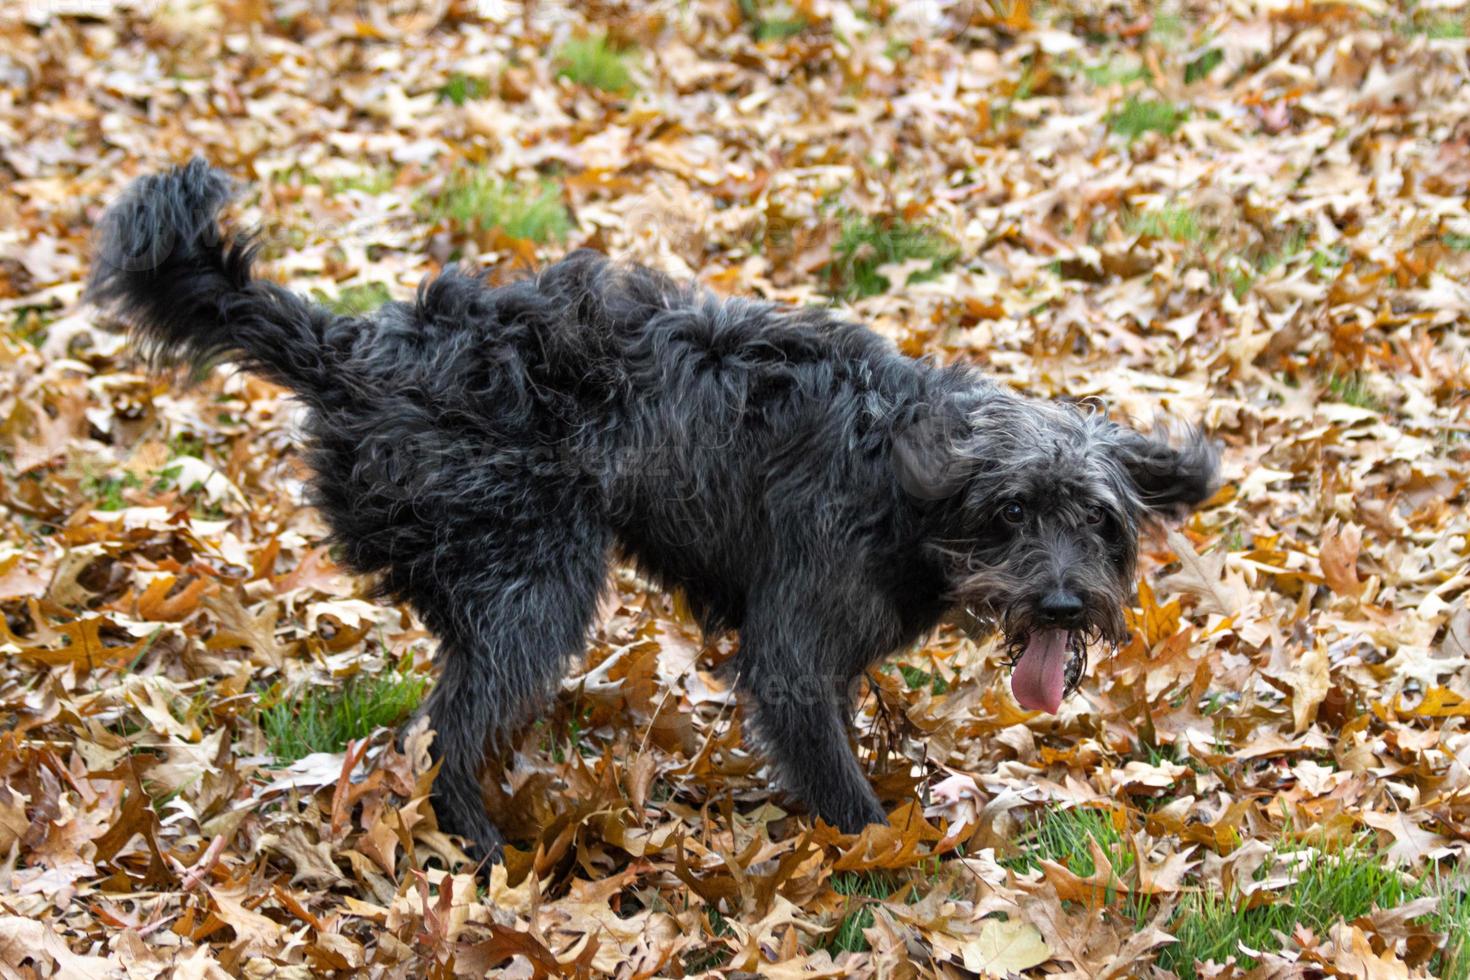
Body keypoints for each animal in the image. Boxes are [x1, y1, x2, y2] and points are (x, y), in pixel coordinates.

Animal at [94, 160, 1217, 863]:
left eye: (1099, 521)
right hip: (536, 583)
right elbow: (842, 785)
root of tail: (357, 349)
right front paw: (893, 857)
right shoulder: (793, 653)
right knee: (439, 738)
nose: (1065, 606)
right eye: (1013, 510)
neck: (905, 476)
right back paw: (483, 847)